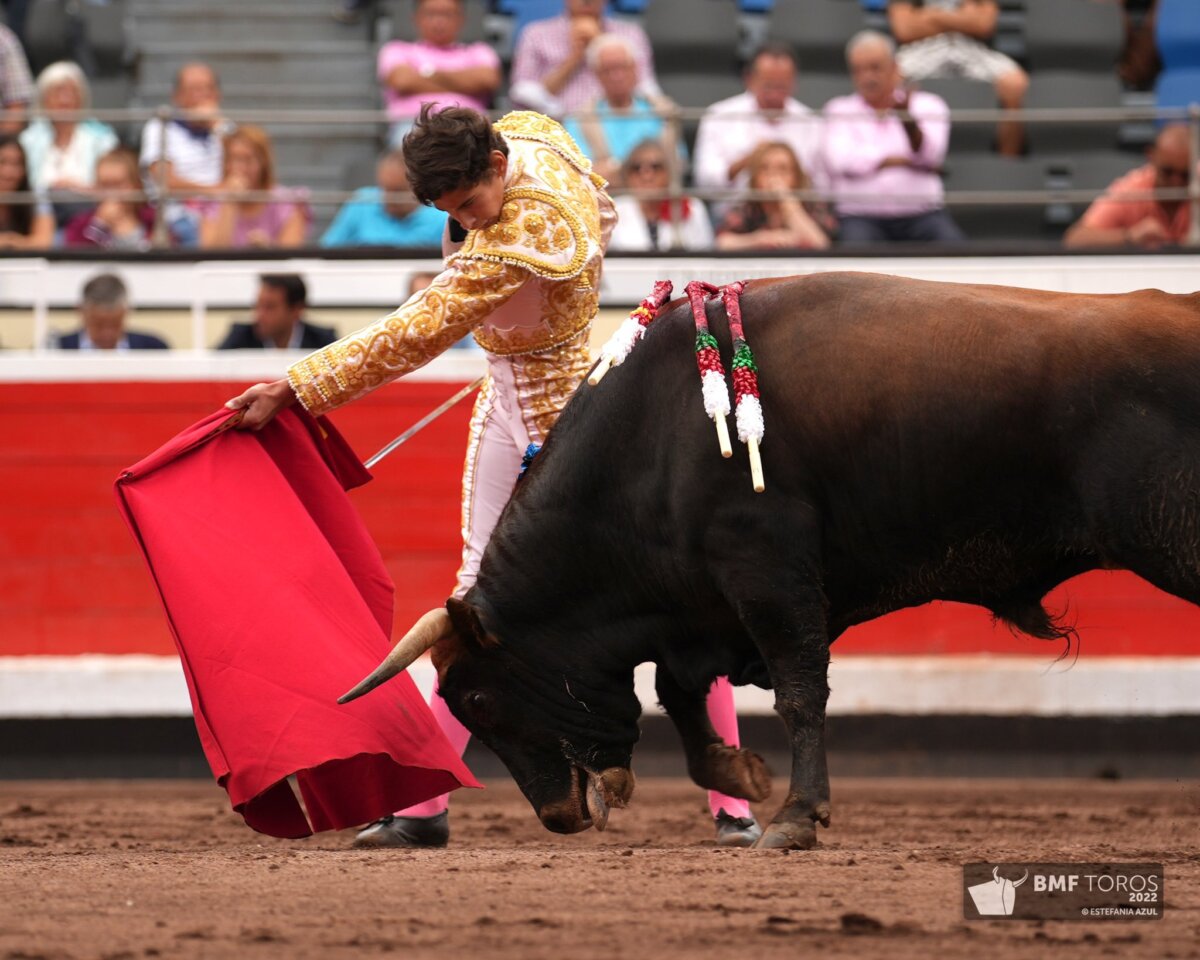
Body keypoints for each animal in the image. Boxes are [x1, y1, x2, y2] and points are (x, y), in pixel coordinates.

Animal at [341, 271, 1200, 850]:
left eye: (480, 702)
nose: (558, 818)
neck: (648, 443)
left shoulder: (765, 569)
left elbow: (796, 691)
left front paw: (794, 816)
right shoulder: (698, 605)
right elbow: (679, 692)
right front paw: (738, 776)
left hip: (1175, 539)